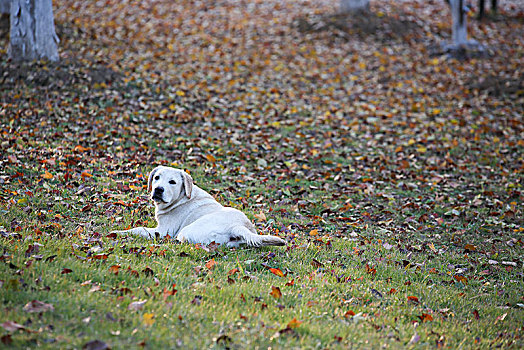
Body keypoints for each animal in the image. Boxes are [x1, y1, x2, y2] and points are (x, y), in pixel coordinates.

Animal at [111, 165, 286, 247]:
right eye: (156, 177)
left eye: (172, 182)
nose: (158, 189)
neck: (181, 198)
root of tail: (237, 226)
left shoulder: (163, 230)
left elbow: (138, 229)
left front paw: (118, 233)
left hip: (184, 231)